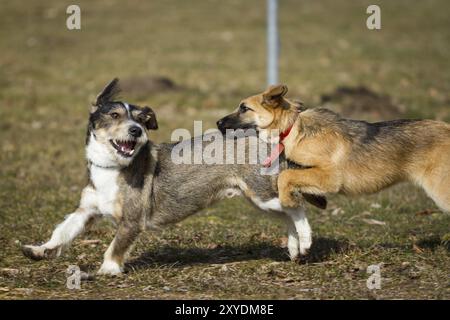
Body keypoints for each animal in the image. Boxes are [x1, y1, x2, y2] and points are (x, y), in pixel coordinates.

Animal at [21, 79, 322, 276]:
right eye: (114, 115)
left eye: (141, 120)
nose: (135, 131)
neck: (112, 168)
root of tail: (270, 138)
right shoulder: (86, 211)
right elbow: (63, 231)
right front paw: (39, 250)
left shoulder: (132, 220)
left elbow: (115, 246)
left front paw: (107, 269)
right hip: (259, 199)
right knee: (288, 216)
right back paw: (295, 249)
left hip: (262, 194)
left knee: (298, 209)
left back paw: (305, 241)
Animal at [217, 84, 450, 211]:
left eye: (244, 108)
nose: (217, 123)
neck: (293, 129)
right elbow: (292, 175)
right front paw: (315, 200)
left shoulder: (330, 177)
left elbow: (286, 176)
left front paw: (288, 201)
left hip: (442, 191)